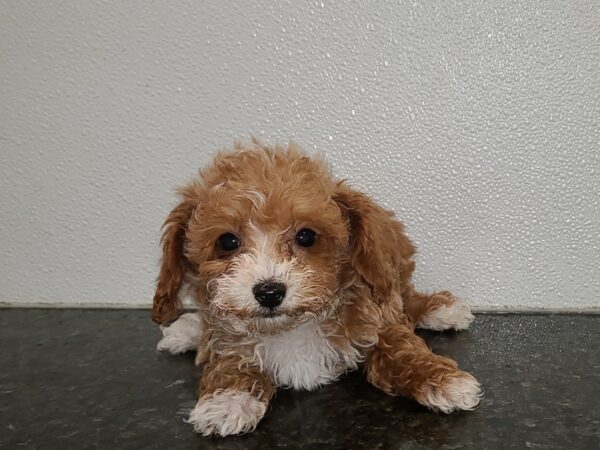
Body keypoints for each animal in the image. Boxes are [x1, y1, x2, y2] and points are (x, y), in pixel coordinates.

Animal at [154, 140, 482, 436]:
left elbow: (403, 350)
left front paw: (444, 380)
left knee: (406, 299)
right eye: (227, 241)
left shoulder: (378, 322)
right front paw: (227, 401)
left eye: (306, 236)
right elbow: (229, 361)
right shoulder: (228, 342)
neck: (292, 326)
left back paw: (443, 310)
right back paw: (186, 331)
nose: (269, 292)